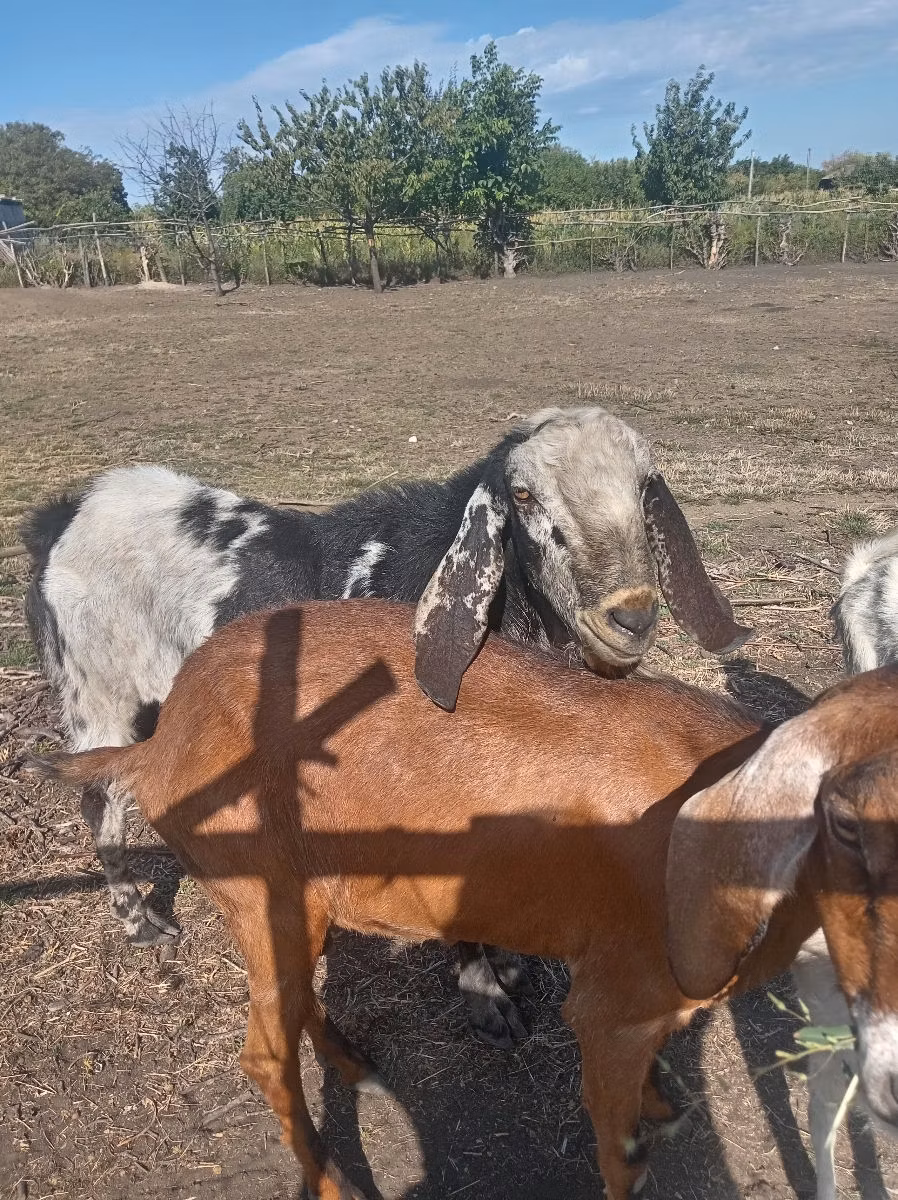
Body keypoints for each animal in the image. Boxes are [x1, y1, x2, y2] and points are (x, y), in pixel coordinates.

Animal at [22, 405, 748, 1049]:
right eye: (523, 496)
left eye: (644, 486)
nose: (630, 617)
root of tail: (62, 517)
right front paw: (486, 996)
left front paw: (509, 964)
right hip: (100, 689)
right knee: (100, 797)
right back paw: (140, 922)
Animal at [36, 600, 898, 1200]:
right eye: (846, 821)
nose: (889, 1088)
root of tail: (159, 743)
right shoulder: (614, 1000)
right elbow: (618, 1152)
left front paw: (663, 1100)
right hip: (259, 890)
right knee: (262, 1051)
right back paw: (332, 1181)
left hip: (296, 902)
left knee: (294, 997)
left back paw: (355, 1065)